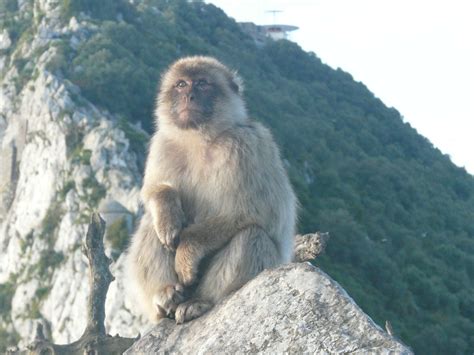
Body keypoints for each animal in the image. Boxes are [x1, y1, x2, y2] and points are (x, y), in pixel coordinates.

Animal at [124, 55, 298, 326]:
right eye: (181, 84)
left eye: (203, 84)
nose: (189, 96)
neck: (199, 139)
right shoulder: (162, 143)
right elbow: (153, 190)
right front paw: (166, 207)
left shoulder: (247, 146)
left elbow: (257, 211)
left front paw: (187, 251)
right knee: (152, 226)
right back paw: (165, 295)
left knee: (252, 236)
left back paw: (200, 302)